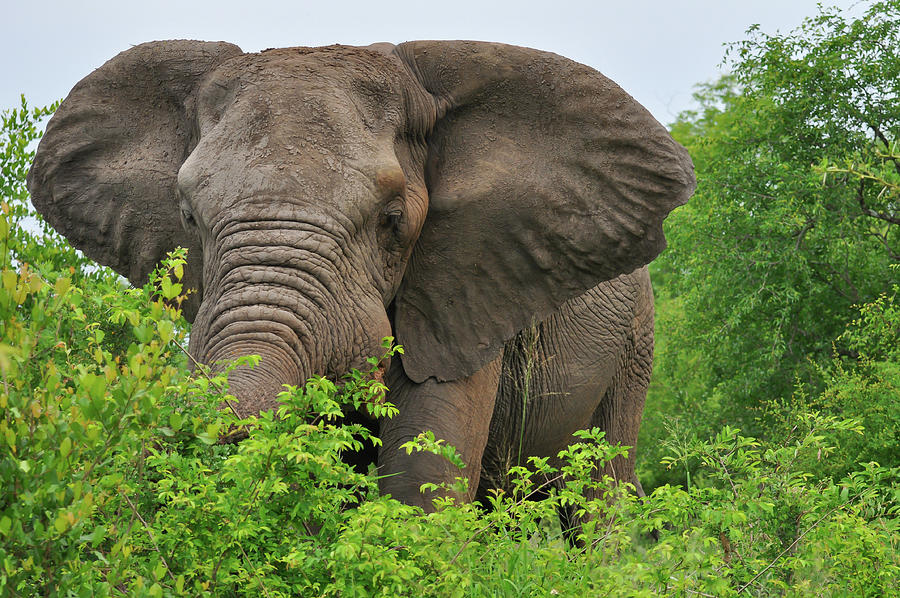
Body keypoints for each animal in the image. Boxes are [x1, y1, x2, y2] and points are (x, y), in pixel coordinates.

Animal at [24, 38, 692, 516]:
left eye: (391, 221)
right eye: (189, 216)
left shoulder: (464, 292)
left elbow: (422, 481)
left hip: (635, 342)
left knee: (598, 497)